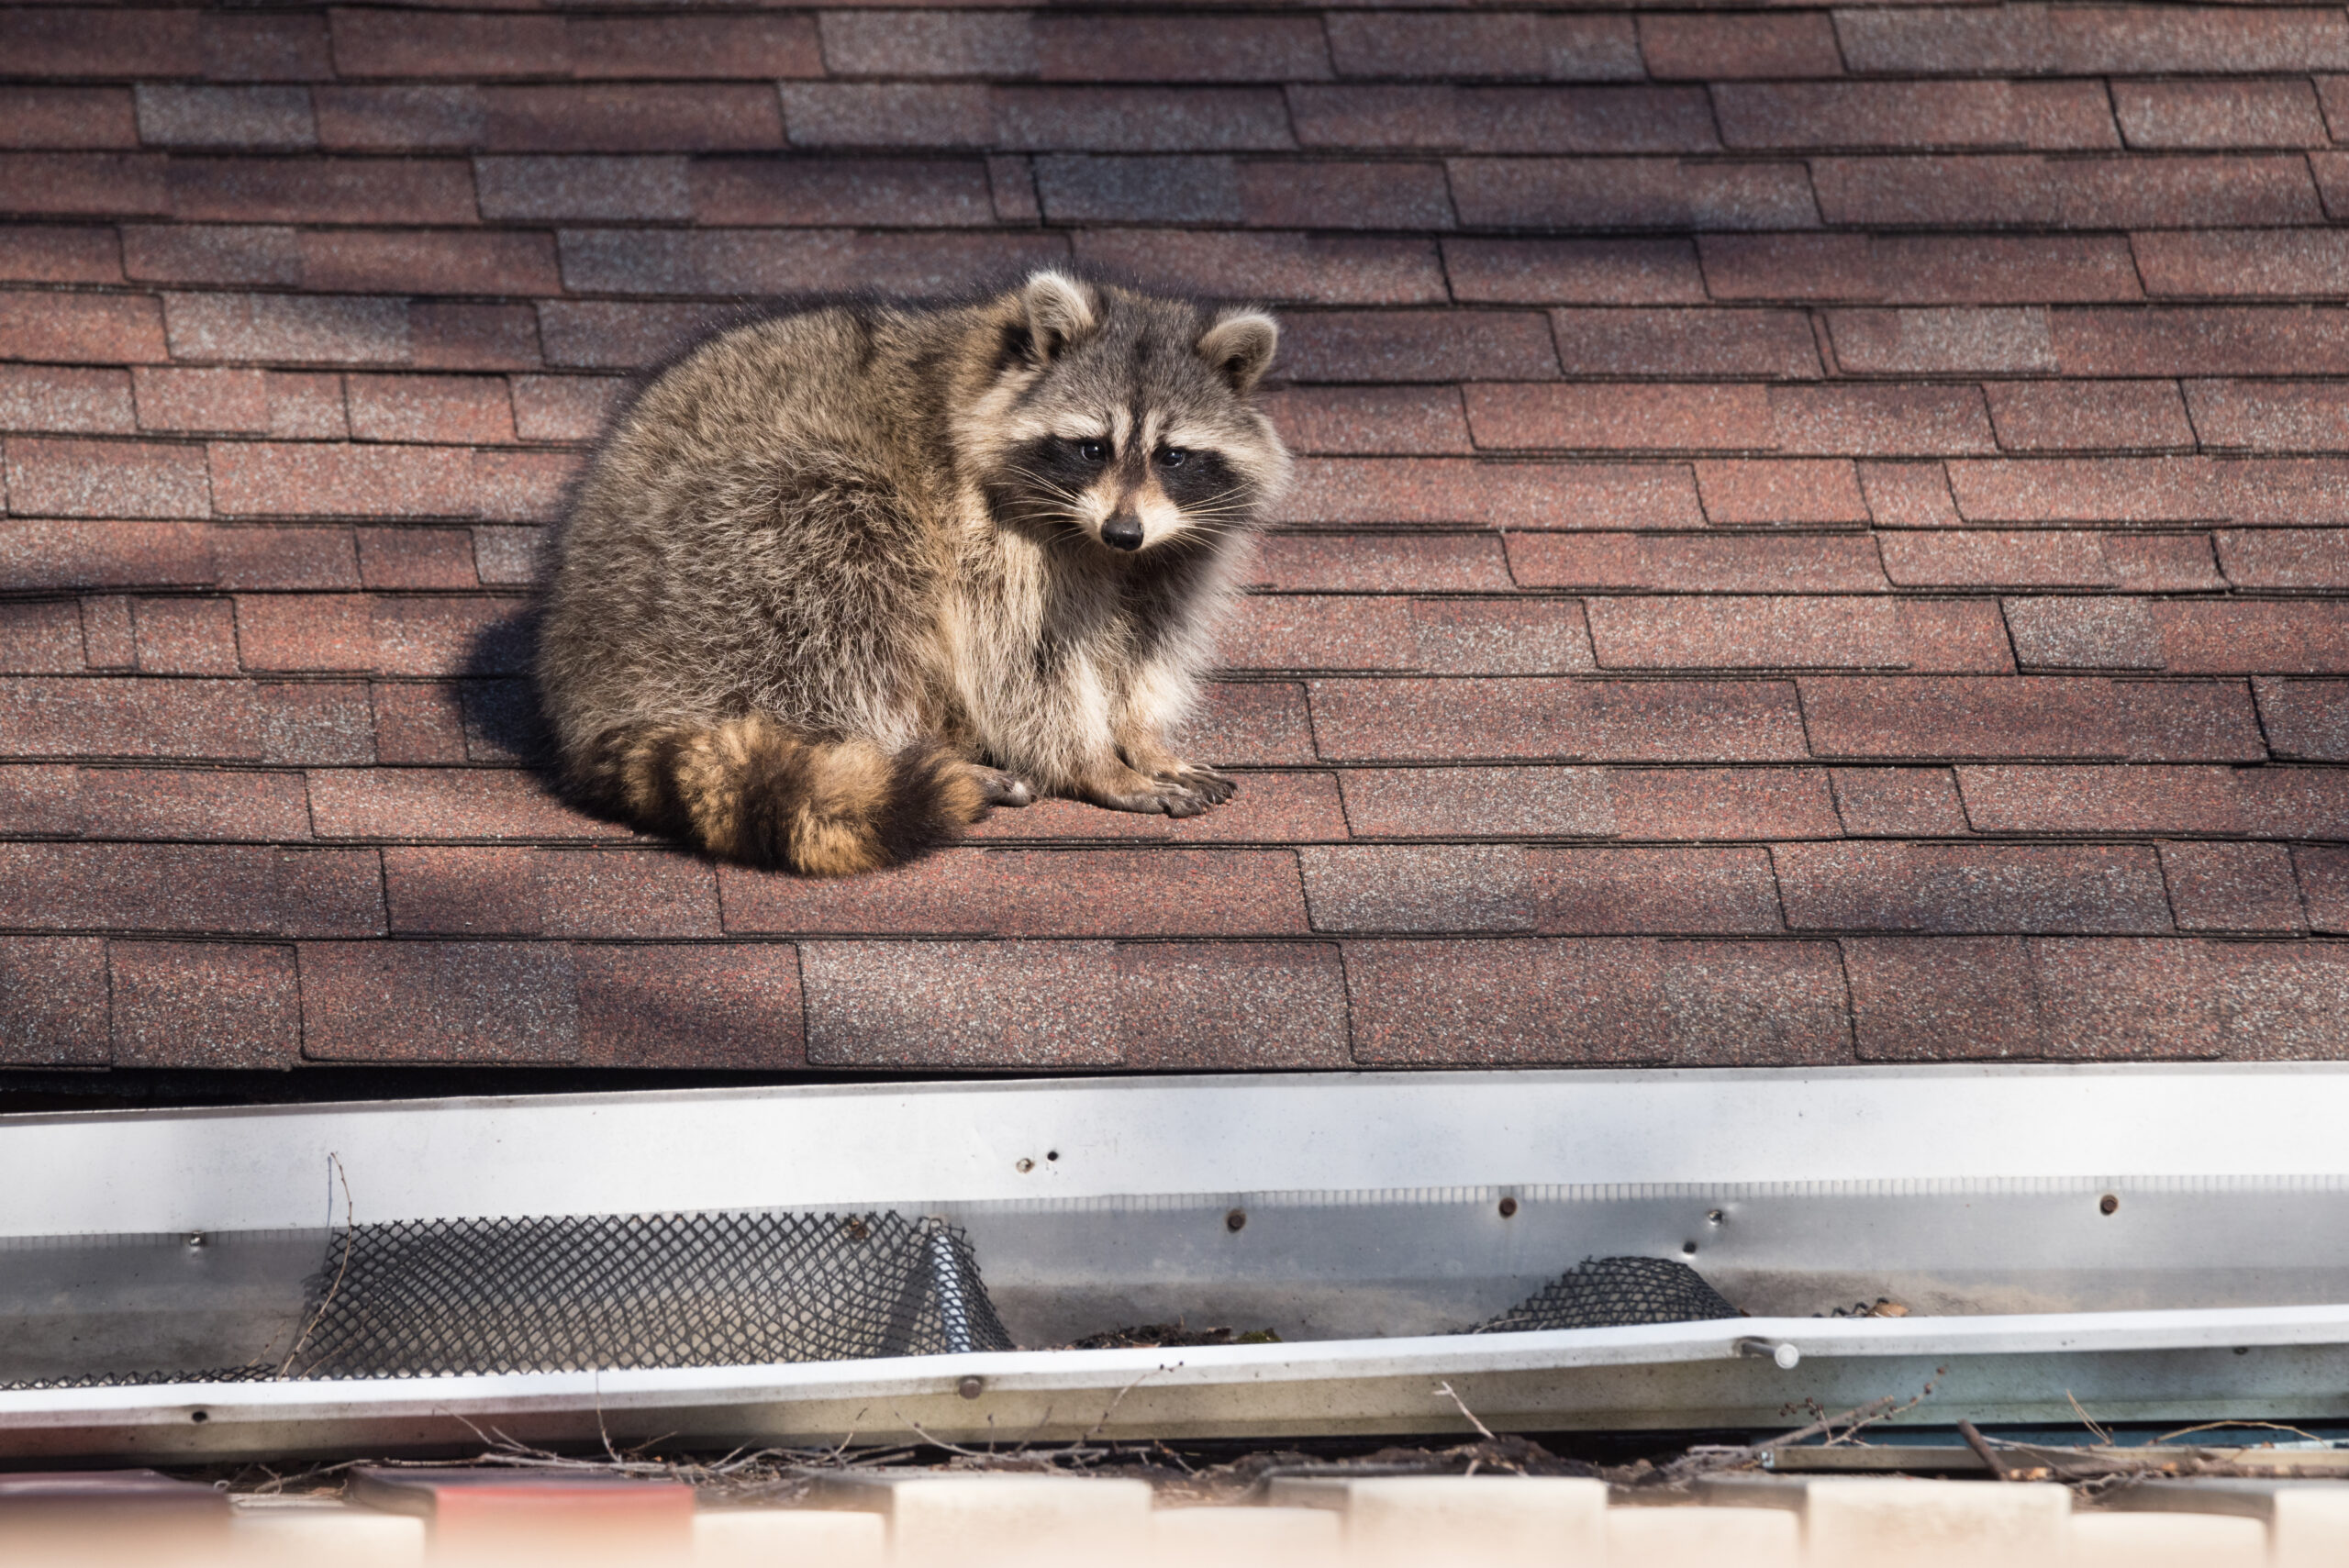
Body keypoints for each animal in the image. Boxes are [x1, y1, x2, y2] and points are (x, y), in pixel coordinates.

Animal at [534, 271, 1289, 877]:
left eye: (1174, 456)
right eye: (1091, 448)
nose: (1123, 531)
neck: (1097, 545)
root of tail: (588, 687)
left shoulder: (1169, 552)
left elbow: (1139, 647)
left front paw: (1139, 737)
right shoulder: (989, 537)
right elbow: (1022, 665)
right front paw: (1093, 763)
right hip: (733, 549)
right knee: (850, 589)